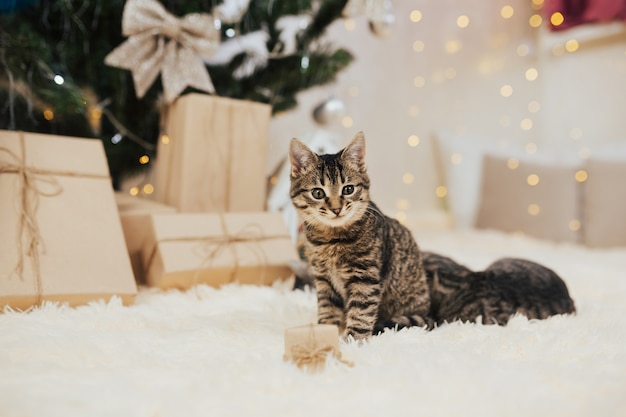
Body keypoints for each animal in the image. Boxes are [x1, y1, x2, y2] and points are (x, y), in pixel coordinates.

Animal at [288, 132, 428, 340]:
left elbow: (361, 311)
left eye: (348, 189)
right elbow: (327, 308)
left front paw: (353, 340)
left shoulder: (365, 278)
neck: (331, 240)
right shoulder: (323, 279)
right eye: (317, 193)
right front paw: (325, 332)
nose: (336, 209)